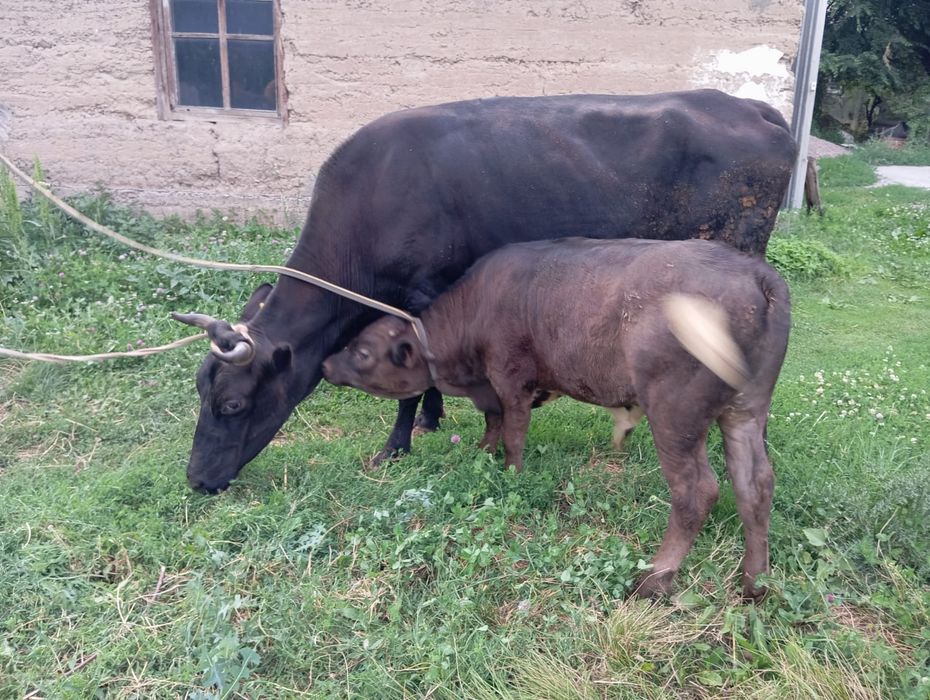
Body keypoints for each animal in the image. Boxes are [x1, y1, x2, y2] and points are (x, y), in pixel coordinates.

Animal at [172, 90, 797, 493]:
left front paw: (396, 444)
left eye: (233, 403)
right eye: (201, 392)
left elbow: (410, 379)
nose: (197, 479)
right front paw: (431, 419)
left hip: (738, 249)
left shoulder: (422, 292)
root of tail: (749, 106)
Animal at [322, 238, 791, 599]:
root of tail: (755, 272)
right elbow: (492, 423)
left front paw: (510, 474)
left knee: (697, 491)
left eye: (361, 351)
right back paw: (754, 583)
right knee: (755, 485)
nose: (325, 363)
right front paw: (482, 453)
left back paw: (653, 580)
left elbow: (512, 432)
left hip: (676, 416)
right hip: (744, 411)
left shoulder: (511, 378)